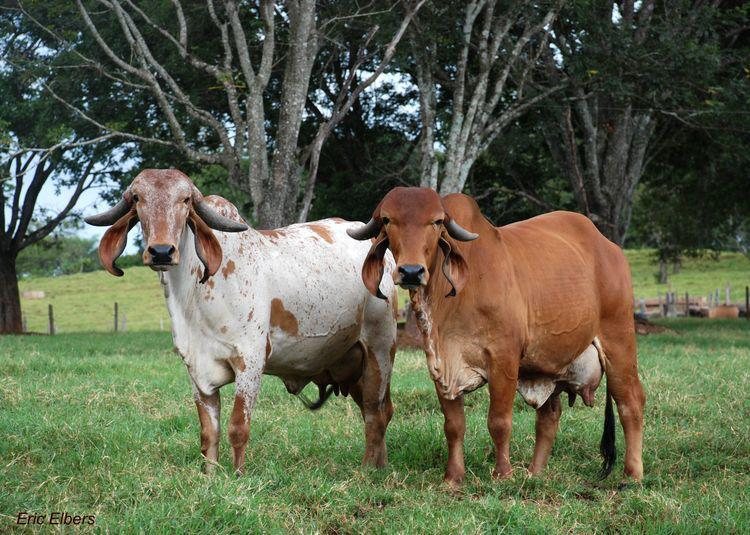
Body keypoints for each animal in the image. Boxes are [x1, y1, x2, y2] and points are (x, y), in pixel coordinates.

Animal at [86, 169, 397, 474]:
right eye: (138, 199)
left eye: (185, 200)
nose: (161, 251)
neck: (196, 294)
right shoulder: (196, 369)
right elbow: (209, 432)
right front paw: (210, 476)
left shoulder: (250, 360)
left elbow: (238, 427)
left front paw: (237, 476)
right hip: (352, 363)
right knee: (379, 411)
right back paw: (380, 466)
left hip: (379, 351)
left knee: (375, 413)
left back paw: (368, 472)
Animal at [348, 187, 645, 486]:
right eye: (387, 220)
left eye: (437, 221)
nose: (411, 271)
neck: (453, 298)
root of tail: (608, 246)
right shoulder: (440, 365)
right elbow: (454, 425)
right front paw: (453, 478)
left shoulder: (503, 359)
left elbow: (499, 421)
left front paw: (503, 474)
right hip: (551, 364)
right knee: (549, 415)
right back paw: (535, 474)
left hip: (618, 339)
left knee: (630, 402)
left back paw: (633, 474)